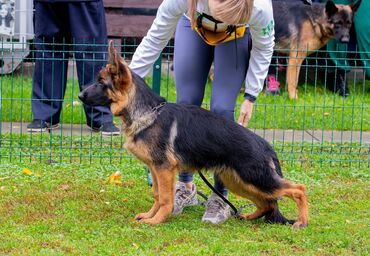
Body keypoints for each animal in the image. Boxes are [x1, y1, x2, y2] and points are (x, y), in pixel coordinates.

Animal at [79, 42, 310, 228]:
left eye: (101, 83)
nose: (80, 95)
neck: (147, 111)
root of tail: (265, 145)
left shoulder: (164, 169)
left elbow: (165, 199)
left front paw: (156, 220)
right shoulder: (155, 168)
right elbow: (157, 195)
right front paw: (150, 215)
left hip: (256, 179)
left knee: (298, 189)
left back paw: (302, 221)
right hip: (239, 181)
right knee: (267, 203)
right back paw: (248, 217)